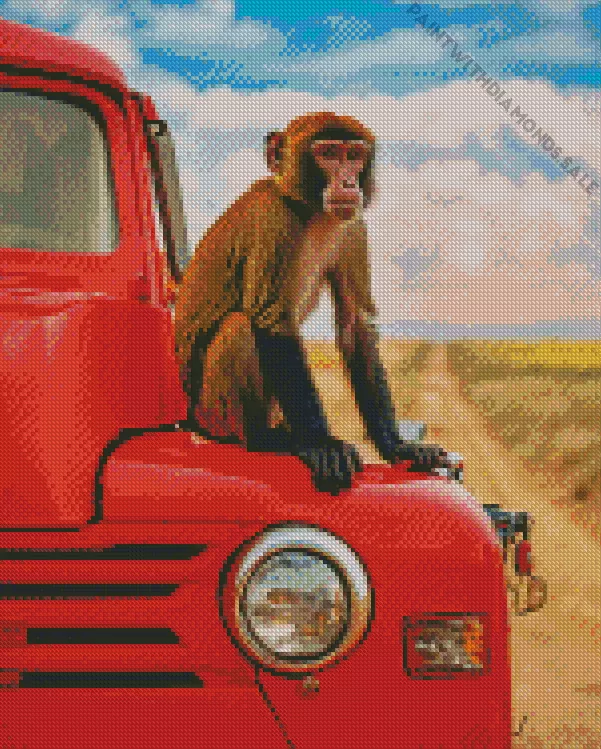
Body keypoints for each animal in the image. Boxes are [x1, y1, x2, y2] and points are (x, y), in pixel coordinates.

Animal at [174, 111, 447, 493]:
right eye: (328, 153)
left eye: (353, 155)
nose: (348, 182)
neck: (311, 210)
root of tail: (189, 420)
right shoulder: (272, 217)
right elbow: (271, 319)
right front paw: (321, 444)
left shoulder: (353, 226)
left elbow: (355, 323)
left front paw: (397, 444)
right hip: (209, 412)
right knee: (239, 326)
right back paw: (264, 438)